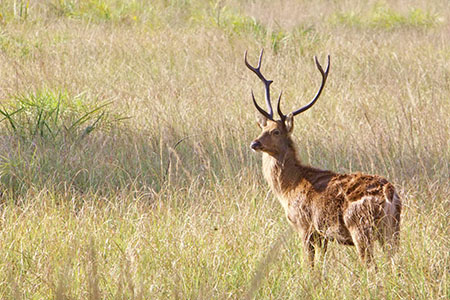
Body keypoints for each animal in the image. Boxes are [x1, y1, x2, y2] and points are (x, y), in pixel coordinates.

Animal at [244, 49, 402, 268]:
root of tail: (389, 193)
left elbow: (309, 265)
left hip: (361, 227)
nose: (254, 143)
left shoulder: (305, 226)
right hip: (393, 229)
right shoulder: (323, 235)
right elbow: (322, 265)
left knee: (371, 265)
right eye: (263, 128)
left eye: (276, 131)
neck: (289, 187)